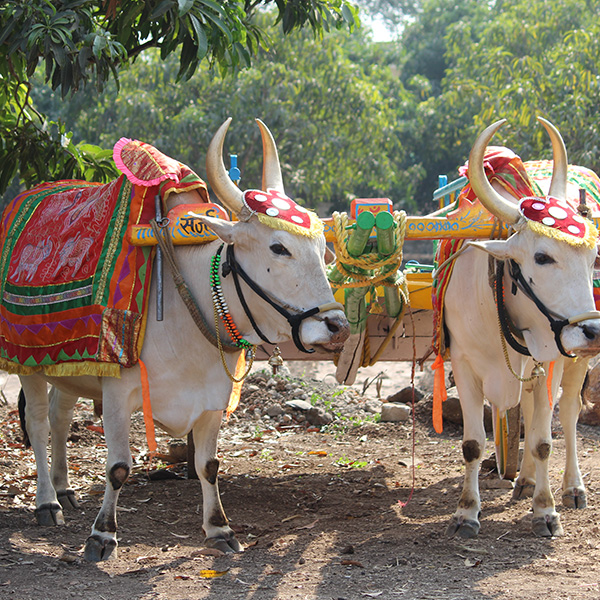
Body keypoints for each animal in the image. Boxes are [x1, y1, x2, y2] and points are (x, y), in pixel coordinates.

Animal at [15, 118, 350, 561]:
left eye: (322, 247)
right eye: (279, 247)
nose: (337, 326)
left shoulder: (211, 398)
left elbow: (209, 465)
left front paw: (219, 528)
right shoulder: (118, 394)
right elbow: (118, 467)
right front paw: (102, 535)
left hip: (70, 368)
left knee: (59, 416)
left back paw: (64, 488)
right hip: (28, 364)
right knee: (38, 423)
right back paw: (47, 501)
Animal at [443, 117, 600, 539]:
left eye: (593, 257)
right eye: (542, 257)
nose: (593, 332)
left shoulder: (552, 361)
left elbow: (544, 440)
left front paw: (545, 511)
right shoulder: (463, 363)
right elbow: (472, 444)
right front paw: (466, 512)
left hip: (573, 364)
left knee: (568, 414)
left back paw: (570, 488)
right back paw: (526, 480)